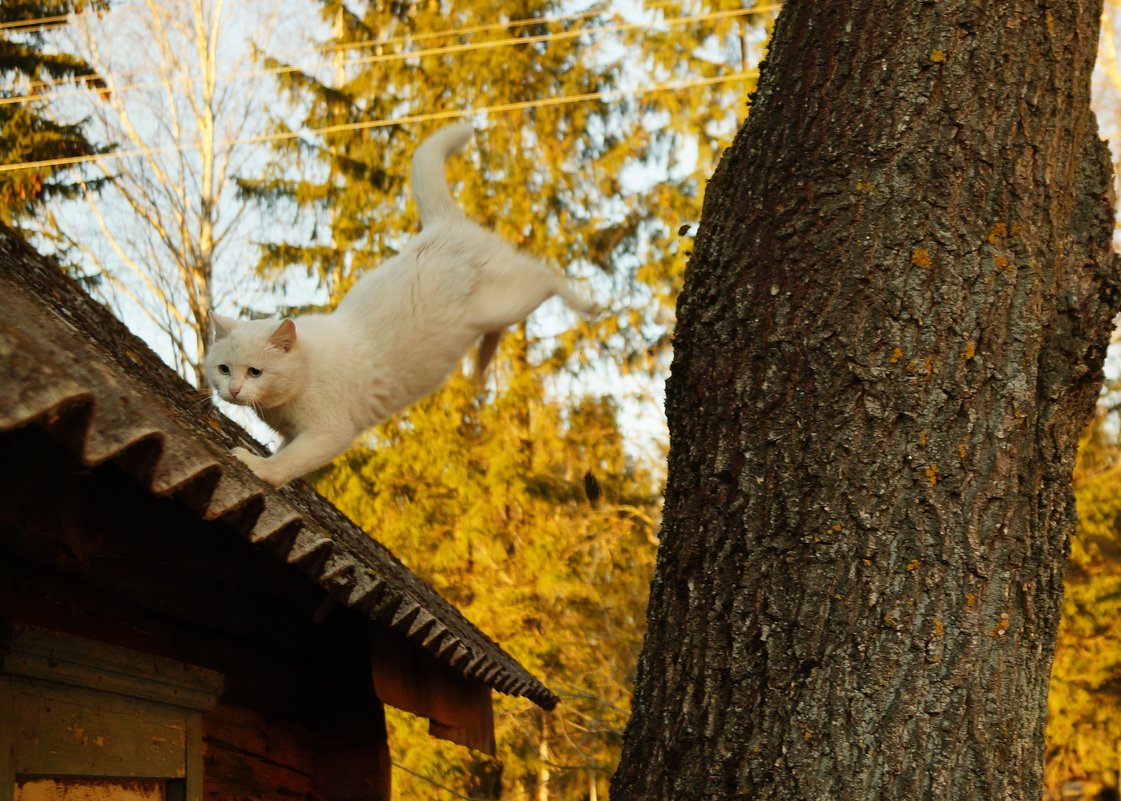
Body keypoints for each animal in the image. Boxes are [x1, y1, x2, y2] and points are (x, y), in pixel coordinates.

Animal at [206, 123, 600, 488]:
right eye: (224, 369)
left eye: (255, 372)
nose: (233, 390)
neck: (300, 378)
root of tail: (445, 226)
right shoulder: (291, 433)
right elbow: (284, 451)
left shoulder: (328, 434)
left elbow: (288, 463)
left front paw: (259, 468)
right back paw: (482, 365)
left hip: (509, 300)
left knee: (546, 276)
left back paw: (588, 305)